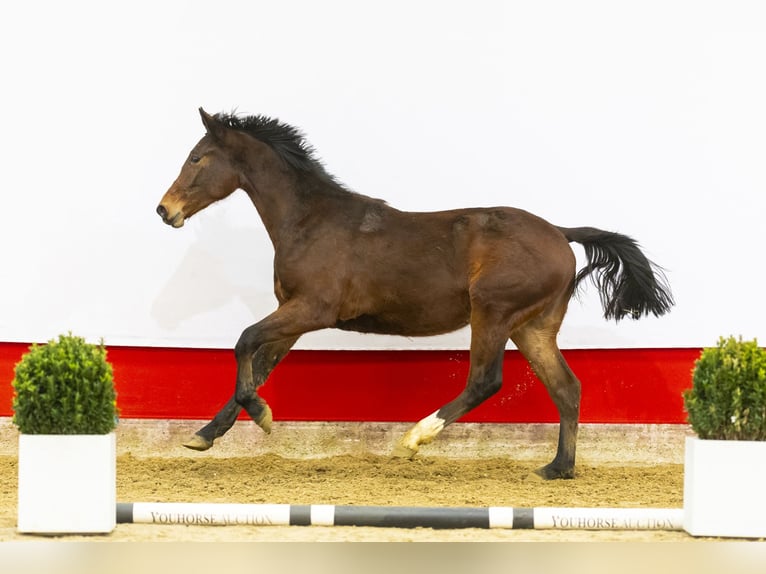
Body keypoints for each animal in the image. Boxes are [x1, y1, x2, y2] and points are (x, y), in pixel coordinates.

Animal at [156, 109, 672, 482]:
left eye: (197, 157)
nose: (165, 210)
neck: (310, 221)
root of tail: (562, 234)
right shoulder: (293, 317)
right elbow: (258, 365)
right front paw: (204, 435)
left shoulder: (310, 309)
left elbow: (244, 341)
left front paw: (261, 416)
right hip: (533, 326)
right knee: (566, 388)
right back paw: (558, 469)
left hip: (493, 311)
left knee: (486, 380)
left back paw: (415, 438)